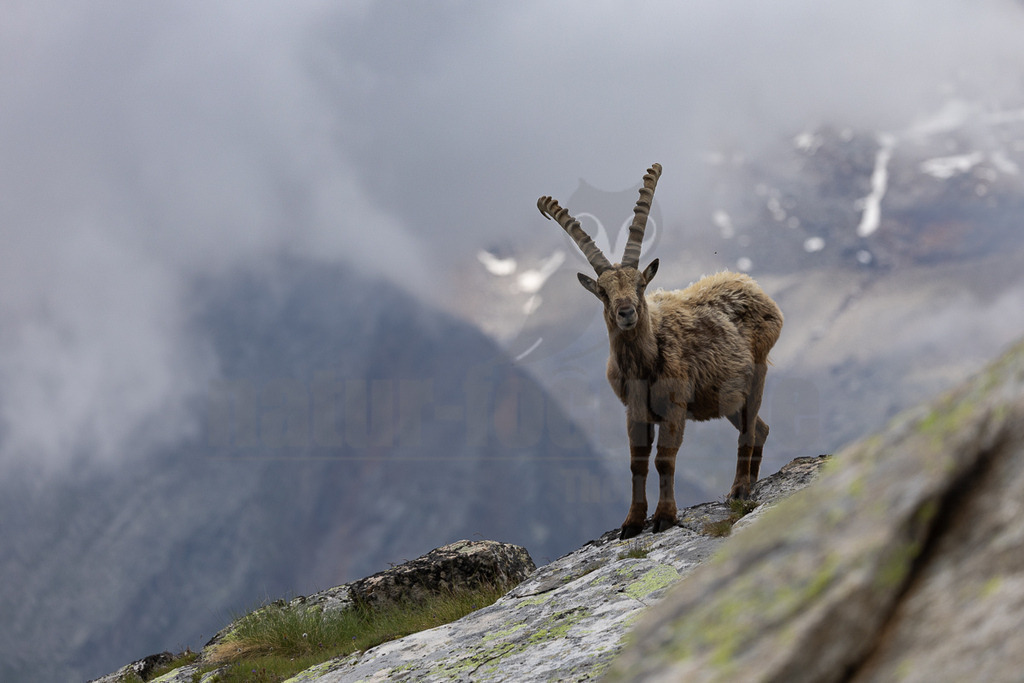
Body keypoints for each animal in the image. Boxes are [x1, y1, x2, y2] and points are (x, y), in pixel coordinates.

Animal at [538, 163, 783, 539]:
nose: (626, 313)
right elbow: (637, 462)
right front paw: (631, 522)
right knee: (760, 428)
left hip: (756, 373)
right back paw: (749, 484)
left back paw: (740, 489)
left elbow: (664, 458)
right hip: (725, 396)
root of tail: (753, 287)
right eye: (604, 293)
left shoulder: (674, 404)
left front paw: (665, 517)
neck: (645, 361)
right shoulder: (635, 410)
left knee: (748, 430)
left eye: (640, 284)